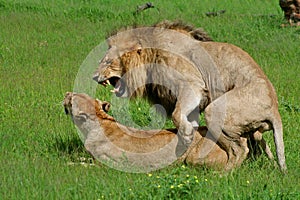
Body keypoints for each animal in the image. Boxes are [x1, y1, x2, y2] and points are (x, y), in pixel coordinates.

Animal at [63, 92, 260, 172]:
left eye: (72, 99)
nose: (66, 93)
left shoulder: (105, 165)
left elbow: (80, 165)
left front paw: (67, 164)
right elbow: (82, 158)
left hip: (195, 158)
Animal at [93, 21, 286, 172]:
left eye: (108, 62)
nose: (94, 77)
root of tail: (274, 108)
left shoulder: (192, 86)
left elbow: (176, 114)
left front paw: (186, 137)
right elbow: (187, 119)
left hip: (214, 110)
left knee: (239, 148)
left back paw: (223, 174)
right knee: (256, 141)